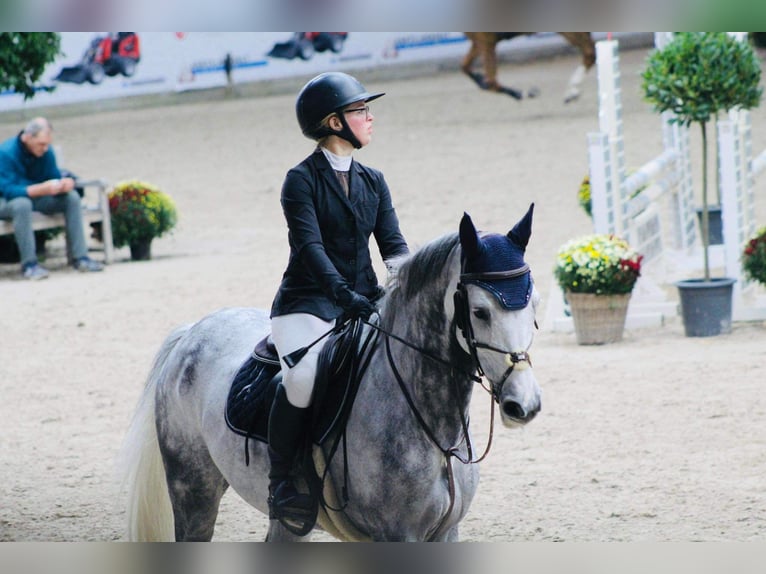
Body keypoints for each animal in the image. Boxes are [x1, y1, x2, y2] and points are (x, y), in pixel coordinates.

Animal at [120, 207, 544, 544]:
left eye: (534, 304)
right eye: (480, 311)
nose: (525, 404)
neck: (435, 434)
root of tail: (192, 331)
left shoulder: (446, 532)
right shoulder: (398, 536)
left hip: (286, 521)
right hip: (192, 488)